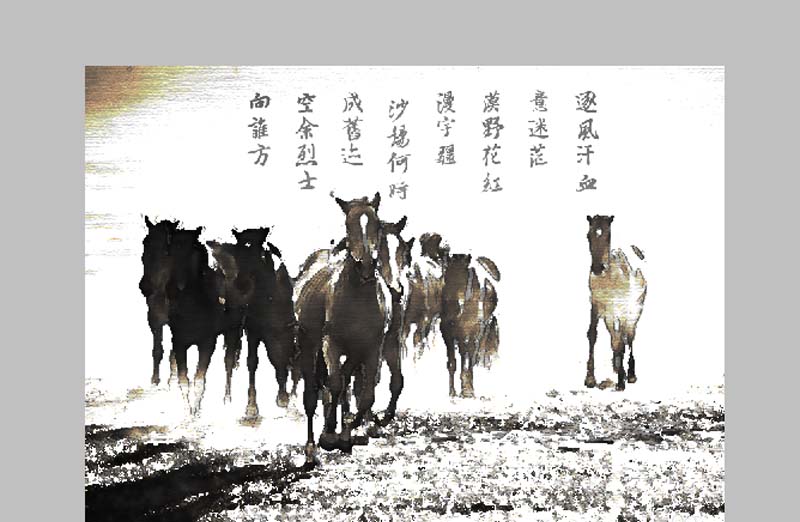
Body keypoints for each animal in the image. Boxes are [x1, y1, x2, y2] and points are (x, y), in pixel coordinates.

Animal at [208, 227, 298, 419]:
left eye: (259, 255)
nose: (239, 284)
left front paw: (283, 396)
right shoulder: (253, 330)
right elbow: (252, 362)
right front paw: (251, 406)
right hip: (233, 327)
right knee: (229, 359)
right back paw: (227, 396)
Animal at [295, 193, 389, 464]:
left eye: (377, 225)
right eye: (348, 225)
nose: (366, 265)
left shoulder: (370, 347)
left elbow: (365, 396)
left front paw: (348, 433)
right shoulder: (331, 343)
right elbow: (335, 384)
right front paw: (328, 438)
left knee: (342, 383)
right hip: (308, 344)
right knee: (313, 393)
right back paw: (311, 449)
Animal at [585, 215, 647, 391]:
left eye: (608, 236)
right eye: (588, 236)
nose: (597, 268)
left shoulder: (621, 311)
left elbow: (621, 341)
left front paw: (621, 381)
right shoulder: (597, 305)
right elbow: (593, 335)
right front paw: (590, 379)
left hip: (633, 312)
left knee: (629, 337)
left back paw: (630, 374)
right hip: (611, 314)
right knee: (616, 337)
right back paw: (618, 367)